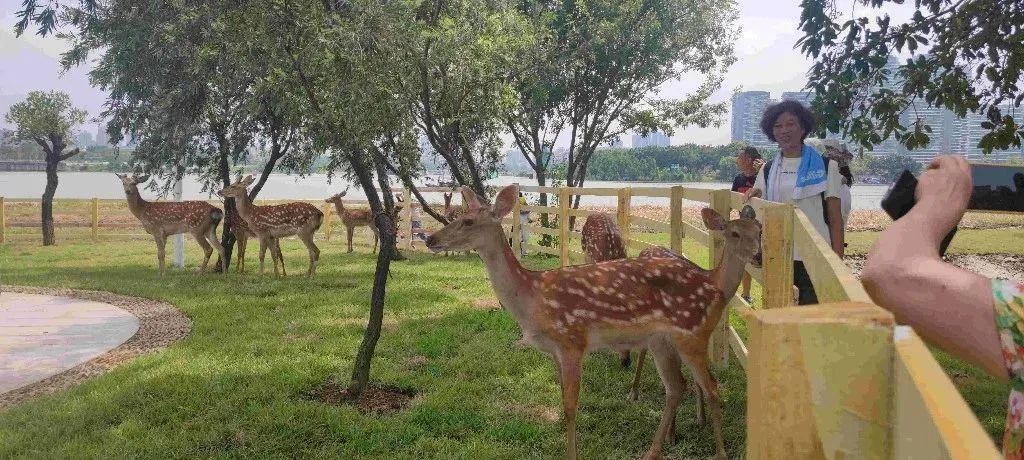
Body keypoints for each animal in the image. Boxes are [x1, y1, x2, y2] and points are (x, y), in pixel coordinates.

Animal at [424, 185, 762, 460]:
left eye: (468, 221)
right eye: (458, 215)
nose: (430, 238)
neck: (532, 299)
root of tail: (715, 284)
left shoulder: (572, 340)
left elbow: (571, 407)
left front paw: (571, 454)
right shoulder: (555, 351)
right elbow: (563, 400)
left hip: (692, 333)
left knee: (712, 387)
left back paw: (718, 453)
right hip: (662, 341)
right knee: (677, 388)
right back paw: (654, 449)